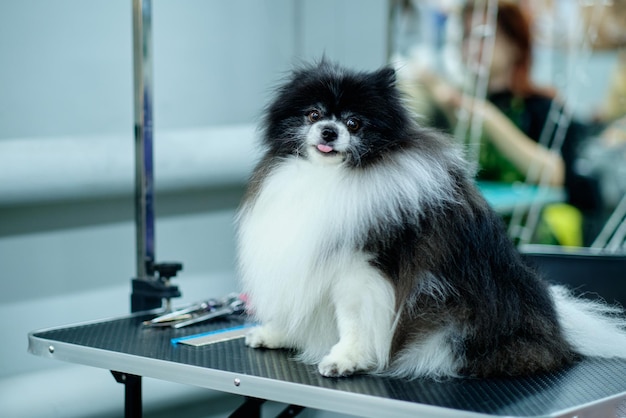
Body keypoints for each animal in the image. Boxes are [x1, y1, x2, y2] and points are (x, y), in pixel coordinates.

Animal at [234, 61, 624, 378]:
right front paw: (277, 333)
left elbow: (353, 322)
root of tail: (559, 330)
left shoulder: (361, 271)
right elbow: (297, 306)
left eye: (354, 123)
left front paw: (346, 358)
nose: (330, 131)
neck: (330, 178)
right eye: (313, 116)